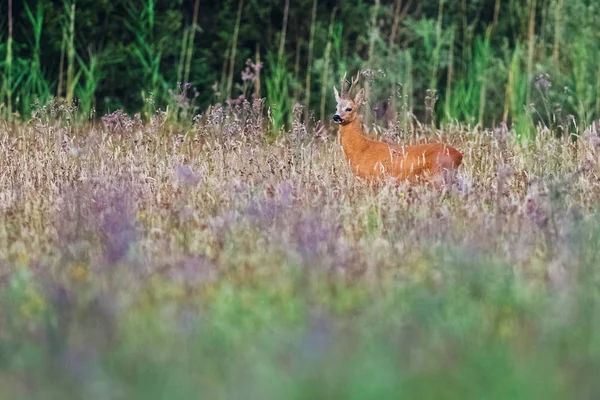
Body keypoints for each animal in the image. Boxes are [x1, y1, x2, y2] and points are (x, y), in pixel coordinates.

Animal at [332, 72, 464, 184]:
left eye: (349, 108)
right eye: (336, 107)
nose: (336, 116)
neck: (361, 148)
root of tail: (460, 156)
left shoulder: (375, 179)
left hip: (437, 176)